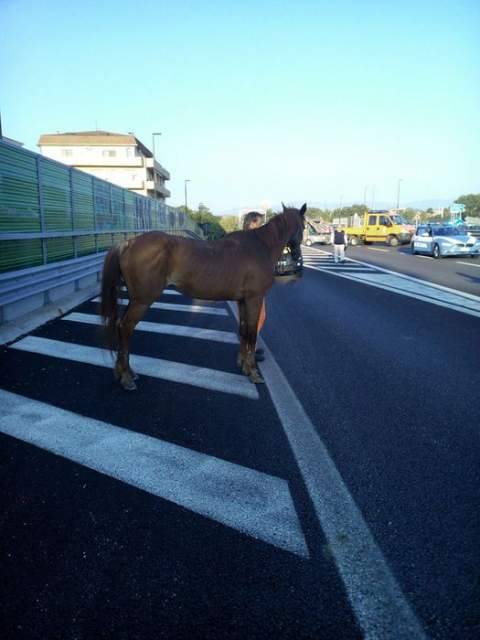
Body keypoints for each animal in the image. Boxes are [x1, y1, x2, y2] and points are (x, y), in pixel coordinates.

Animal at [100, 202, 306, 391]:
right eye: (304, 226)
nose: (297, 255)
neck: (260, 246)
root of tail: (128, 243)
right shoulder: (254, 299)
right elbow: (251, 334)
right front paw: (253, 372)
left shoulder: (242, 301)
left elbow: (243, 330)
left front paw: (244, 366)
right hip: (142, 301)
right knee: (126, 328)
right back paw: (126, 377)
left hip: (134, 299)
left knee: (120, 326)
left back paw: (125, 372)